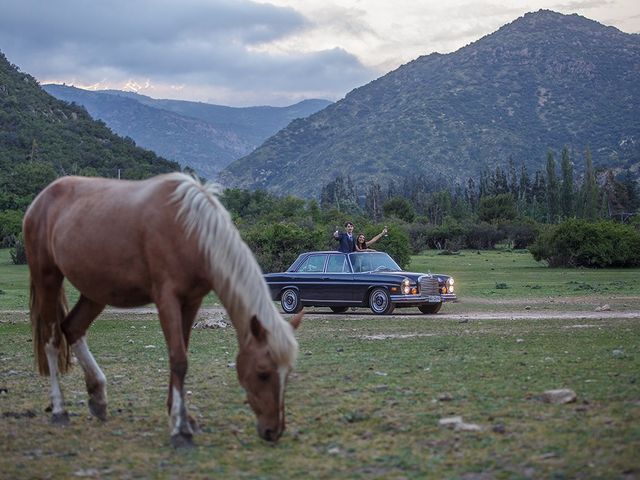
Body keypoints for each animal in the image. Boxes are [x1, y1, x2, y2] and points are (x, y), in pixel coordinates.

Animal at [23, 172, 304, 446]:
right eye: (263, 373)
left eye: (288, 373)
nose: (274, 431)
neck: (190, 228)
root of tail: (40, 200)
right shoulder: (166, 298)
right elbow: (178, 359)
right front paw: (180, 431)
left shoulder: (192, 301)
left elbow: (181, 355)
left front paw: (181, 417)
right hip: (47, 278)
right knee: (52, 341)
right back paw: (60, 410)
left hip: (95, 292)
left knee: (73, 328)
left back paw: (98, 398)